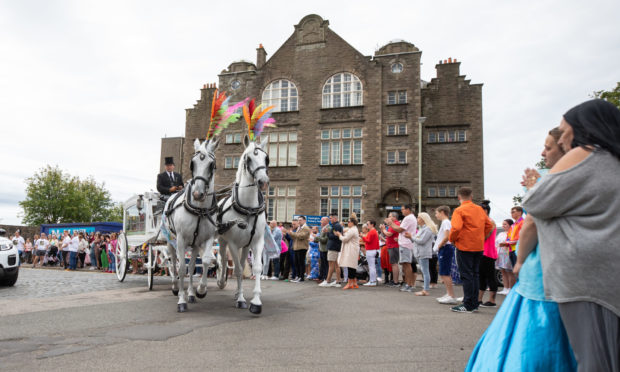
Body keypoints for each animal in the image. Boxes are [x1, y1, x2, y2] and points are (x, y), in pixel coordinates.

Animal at [163, 138, 219, 312]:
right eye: (192, 164)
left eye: (211, 165)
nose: (197, 194)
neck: (199, 210)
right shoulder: (180, 240)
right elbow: (181, 267)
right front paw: (181, 300)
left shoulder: (206, 239)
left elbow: (205, 261)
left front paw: (200, 290)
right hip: (170, 241)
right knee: (173, 262)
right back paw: (175, 287)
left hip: (194, 244)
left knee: (193, 264)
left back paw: (191, 294)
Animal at [216, 135, 268, 316]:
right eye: (248, 158)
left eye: (266, 158)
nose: (263, 181)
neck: (248, 208)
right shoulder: (232, 243)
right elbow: (238, 269)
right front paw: (240, 300)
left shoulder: (257, 241)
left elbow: (257, 268)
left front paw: (256, 301)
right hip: (223, 241)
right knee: (223, 260)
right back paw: (222, 282)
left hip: (245, 245)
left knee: (242, 261)